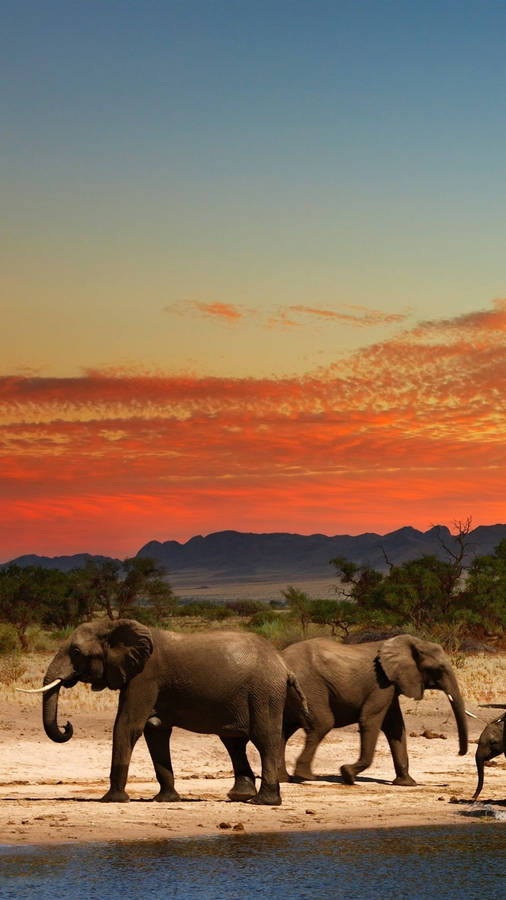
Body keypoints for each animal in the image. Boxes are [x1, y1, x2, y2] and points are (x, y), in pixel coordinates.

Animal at [24, 618, 311, 805]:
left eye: (75, 651)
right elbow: (155, 732)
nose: (67, 725)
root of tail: (283, 665)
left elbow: (127, 725)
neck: (112, 626)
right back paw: (240, 796)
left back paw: (264, 802)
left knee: (264, 739)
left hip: (263, 692)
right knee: (233, 741)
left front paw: (111, 800)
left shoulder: (145, 676)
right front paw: (165, 799)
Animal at [279, 634, 468, 786]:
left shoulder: (390, 684)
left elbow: (395, 727)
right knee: (322, 724)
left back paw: (284, 778)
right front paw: (347, 774)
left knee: (283, 730)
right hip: (309, 686)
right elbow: (369, 719)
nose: (459, 753)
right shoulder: (380, 683)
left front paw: (406, 783)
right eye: (439, 669)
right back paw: (306, 777)